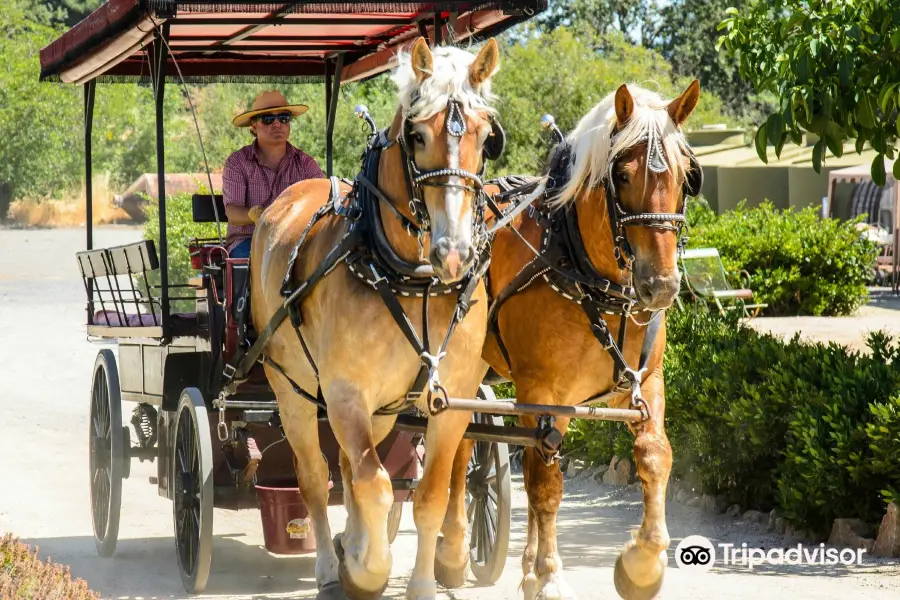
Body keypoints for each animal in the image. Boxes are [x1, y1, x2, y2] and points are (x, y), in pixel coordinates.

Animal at [250, 38, 506, 600]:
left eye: (486, 137)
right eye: (417, 134)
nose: (454, 252)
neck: (413, 279)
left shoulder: (452, 397)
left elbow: (428, 492)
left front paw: (422, 582)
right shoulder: (345, 392)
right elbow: (375, 486)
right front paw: (365, 569)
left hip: (385, 406)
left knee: (349, 468)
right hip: (292, 389)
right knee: (316, 475)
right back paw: (331, 565)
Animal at [442, 81, 704, 600]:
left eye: (687, 177)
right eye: (621, 175)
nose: (660, 285)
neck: (579, 265)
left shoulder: (645, 383)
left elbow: (655, 457)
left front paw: (641, 565)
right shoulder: (542, 393)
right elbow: (545, 485)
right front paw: (547, 575)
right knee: (459, 449)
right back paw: (453, 551)